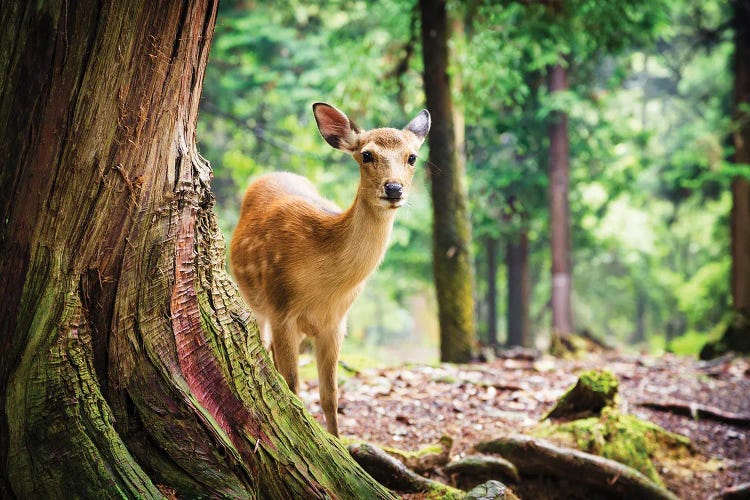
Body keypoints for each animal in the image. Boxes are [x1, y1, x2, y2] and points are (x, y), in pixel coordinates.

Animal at [229, 103, 432, 436]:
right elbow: (293, 386)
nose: (393, 188)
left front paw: (339, 443)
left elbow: (330, 395)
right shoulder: (281, 309)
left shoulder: (336, 323)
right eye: (367, 154)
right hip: (258, 304)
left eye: (412, 157)